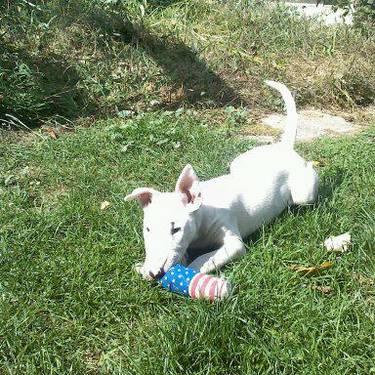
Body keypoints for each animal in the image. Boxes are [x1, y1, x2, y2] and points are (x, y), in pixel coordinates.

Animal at [126, 83, 320, 282]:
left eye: (176, 229)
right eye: (147, 229)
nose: (154, 273)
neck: (202, 212)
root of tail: (284, 148)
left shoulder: (233, 242)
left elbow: (203, 260)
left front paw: (188, 273)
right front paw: (142, 267)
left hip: (304, 195)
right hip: (238, 162)